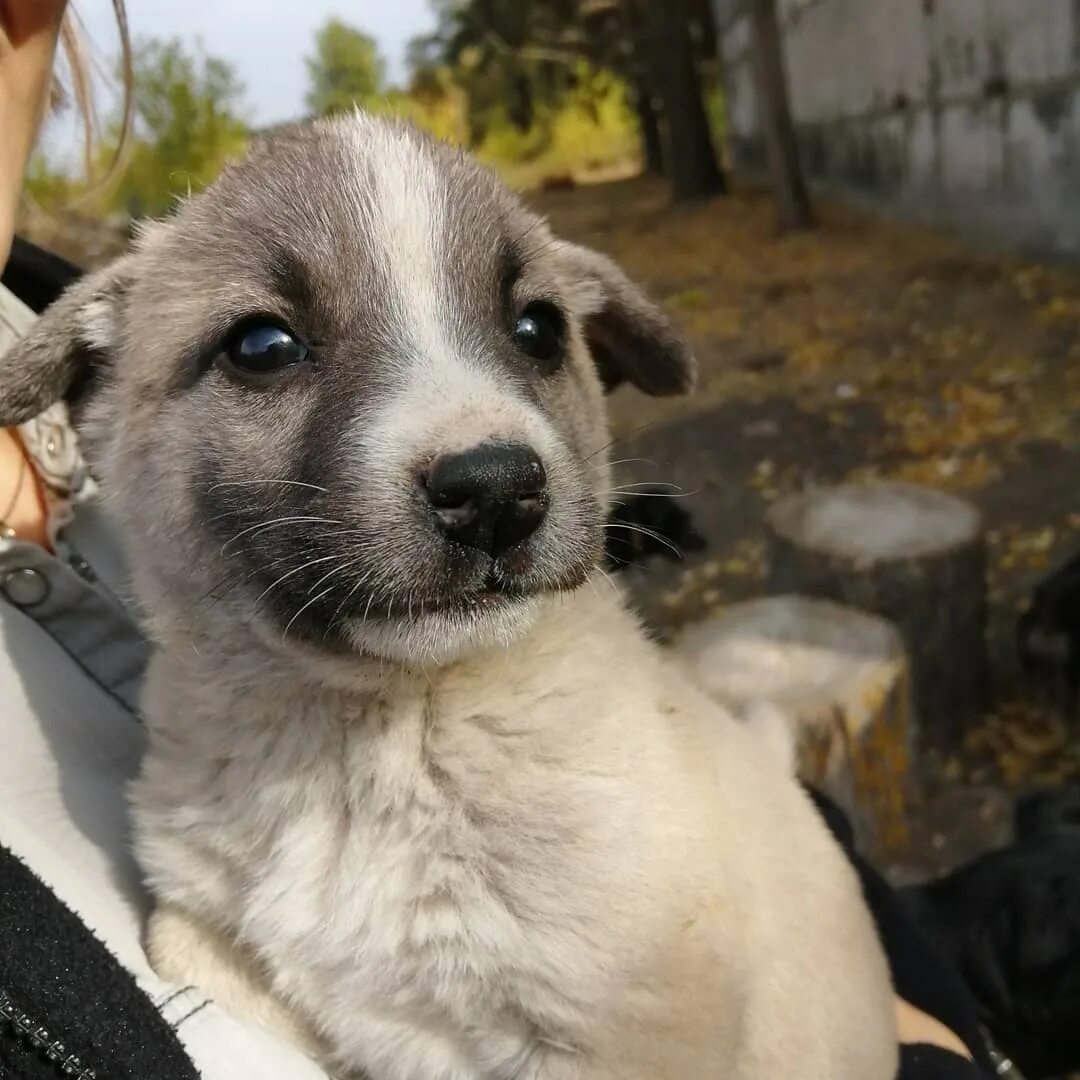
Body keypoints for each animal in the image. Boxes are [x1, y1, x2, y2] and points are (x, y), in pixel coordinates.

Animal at [0, 116, 894, 1080]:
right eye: (261, 346)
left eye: (538, 328)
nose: (498, 492)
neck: (376, 743)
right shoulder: (205, 931)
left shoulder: (615, 1036)